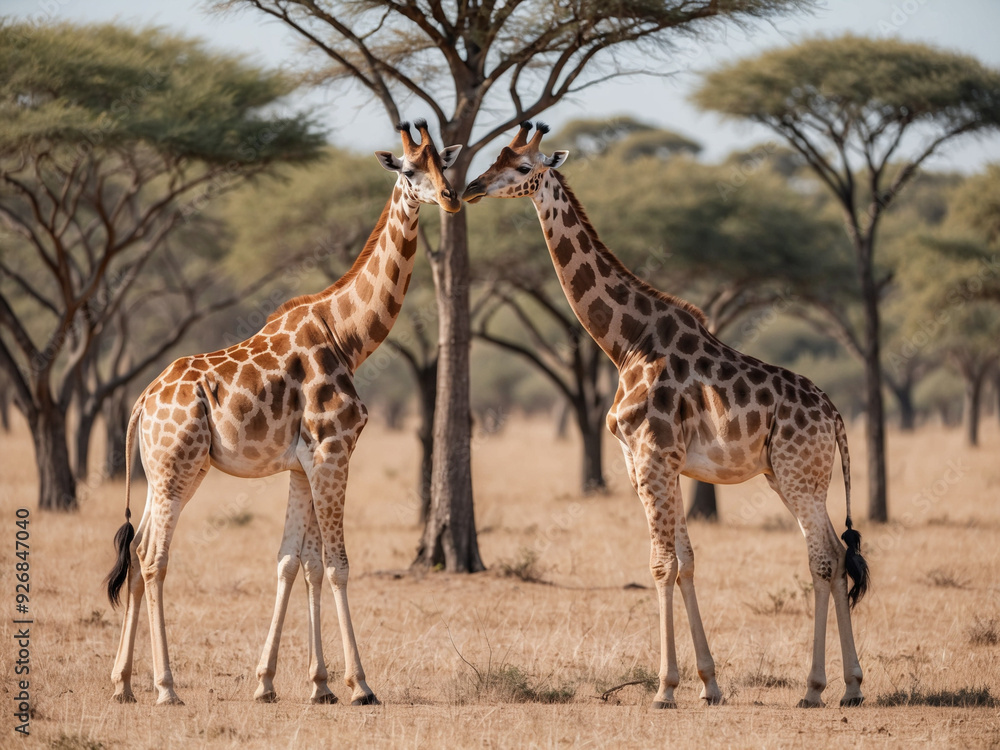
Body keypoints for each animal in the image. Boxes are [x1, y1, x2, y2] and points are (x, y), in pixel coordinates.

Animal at [104, 121, 462, 706]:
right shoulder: (333, 451)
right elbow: (337, 566)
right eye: (410, 170)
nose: (451, 197)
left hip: (166, 472)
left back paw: (123, 684)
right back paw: (166, 687)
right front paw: (359, 685)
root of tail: (141, 401)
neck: (348, 336)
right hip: (177, 468)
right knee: (155, 558)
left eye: (445, 164)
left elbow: (298, 563)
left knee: (134, 552)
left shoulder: (302, 464)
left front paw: (296, 684)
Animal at [463, 122, 870, 709]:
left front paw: (664, 688)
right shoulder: (656, 462)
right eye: (494, 157)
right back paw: (851, 686)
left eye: (521, 166)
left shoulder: (650, 457)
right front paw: (708, 684)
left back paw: (817, 688)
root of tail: (835, 416)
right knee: (836, 554)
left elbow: (661, 563)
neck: (625, 343)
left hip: (800, 475)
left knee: (824, 558)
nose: (471, 187)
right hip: (784, 475)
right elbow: (686, 561)